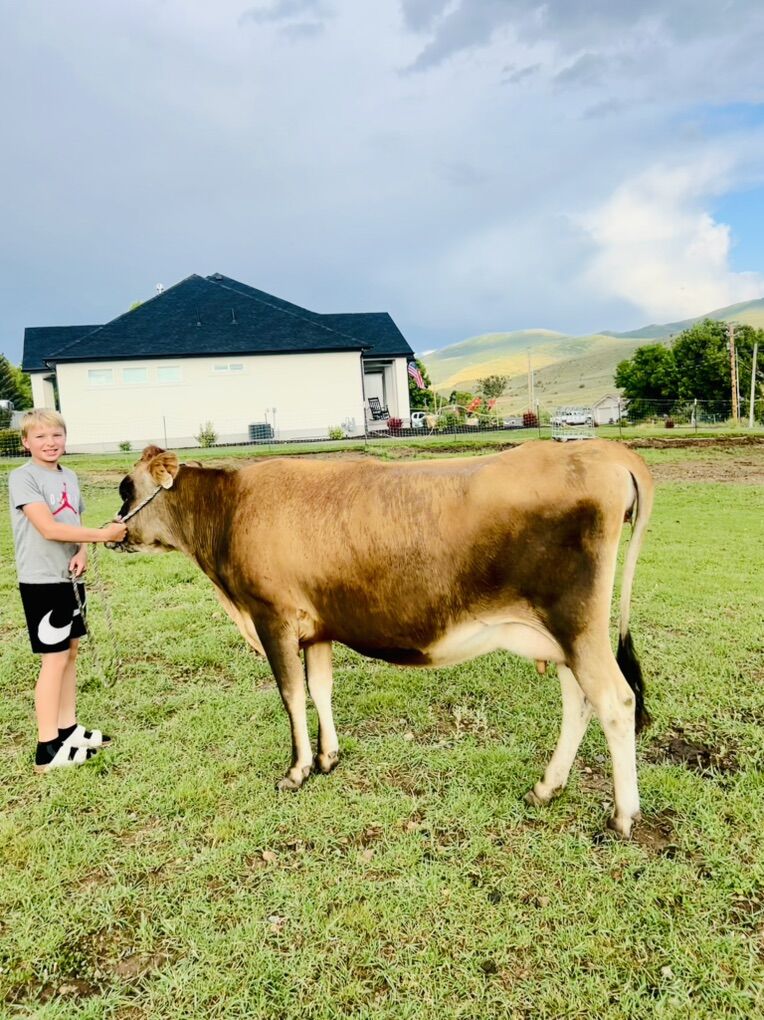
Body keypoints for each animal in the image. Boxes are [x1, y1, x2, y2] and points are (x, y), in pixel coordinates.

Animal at [112, 440, 654, 838]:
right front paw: (328, 758)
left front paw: (297, 770)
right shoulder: (318, 628)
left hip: (576, 625)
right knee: (579, 702)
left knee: (616, 701)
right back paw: (547, 788)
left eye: (126, 487)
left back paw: (623, 816)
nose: (114, 531)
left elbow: (291, 693)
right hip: (562, 637)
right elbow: (320, 689)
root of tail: (604, 450)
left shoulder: (272, 618)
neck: (228, 511)